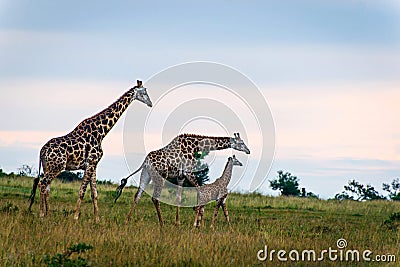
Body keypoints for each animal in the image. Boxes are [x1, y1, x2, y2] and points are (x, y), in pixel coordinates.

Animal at [28, 80, 152, 223]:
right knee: (42, 184)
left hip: (48, 166)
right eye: (144, 92)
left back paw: (48, 215)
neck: (101, 133)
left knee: (47, 187)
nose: (150, 103)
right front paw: (76, 217)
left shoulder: (94, 165)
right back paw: (42, 214)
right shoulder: (90, 163)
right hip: (56, 166)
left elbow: (94, 193)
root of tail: (42, 151)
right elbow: (82, 191)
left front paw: (97, 219)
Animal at [118, 133, 250, 227]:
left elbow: (179, 197)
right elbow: (200, 191)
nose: (248, 150)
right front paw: (198, 221)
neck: (194, 146)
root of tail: (146, 162)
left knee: (138, 195)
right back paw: (162, 224)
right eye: (241, 142)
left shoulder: (180, 176)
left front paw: (178, 223)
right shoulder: (188, 171)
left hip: (146, 174)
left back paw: (126, 221)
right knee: (155, 198)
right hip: (161, 176)